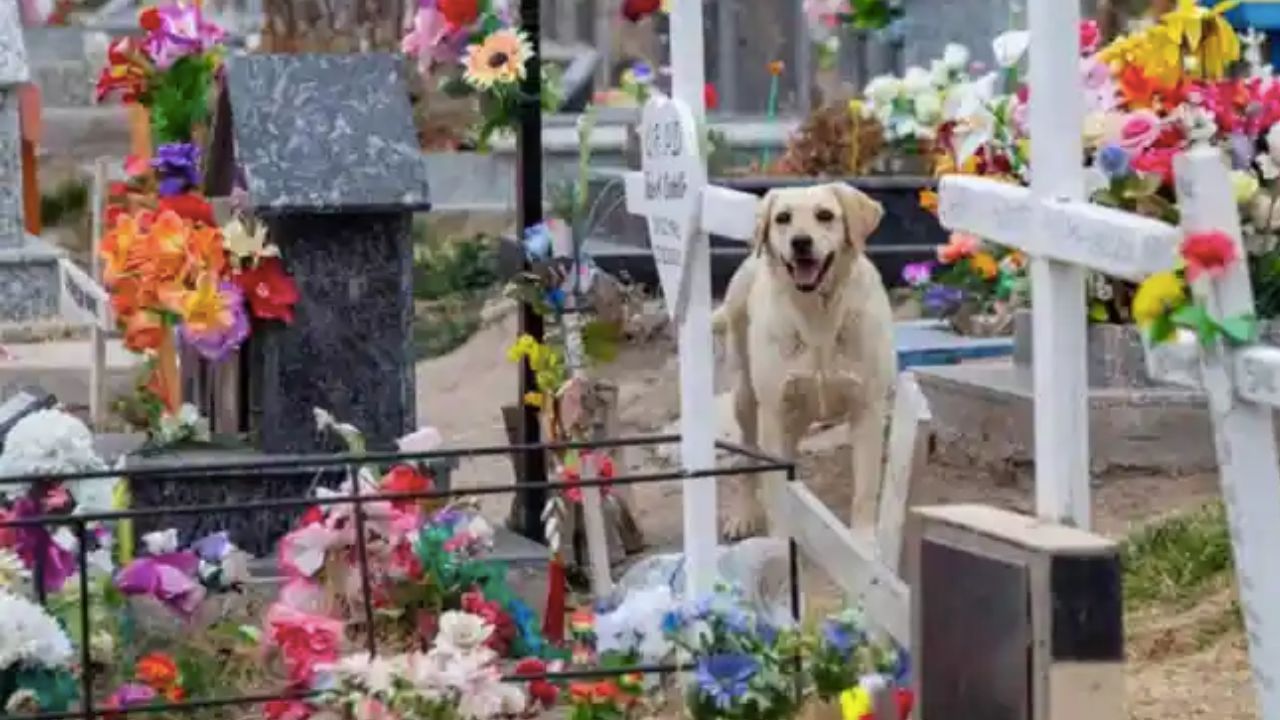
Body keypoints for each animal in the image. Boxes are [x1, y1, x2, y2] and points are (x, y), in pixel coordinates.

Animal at [716, 181, 896, 535]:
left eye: (824, 215)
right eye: (782, 218)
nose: (800, 242)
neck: (818, 317)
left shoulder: (868, 409)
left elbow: (865, 492)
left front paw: (864, 543)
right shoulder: (774, 412)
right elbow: (775, 488)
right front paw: (779, 540)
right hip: (747, 398)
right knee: (748, 458)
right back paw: (745, 514)